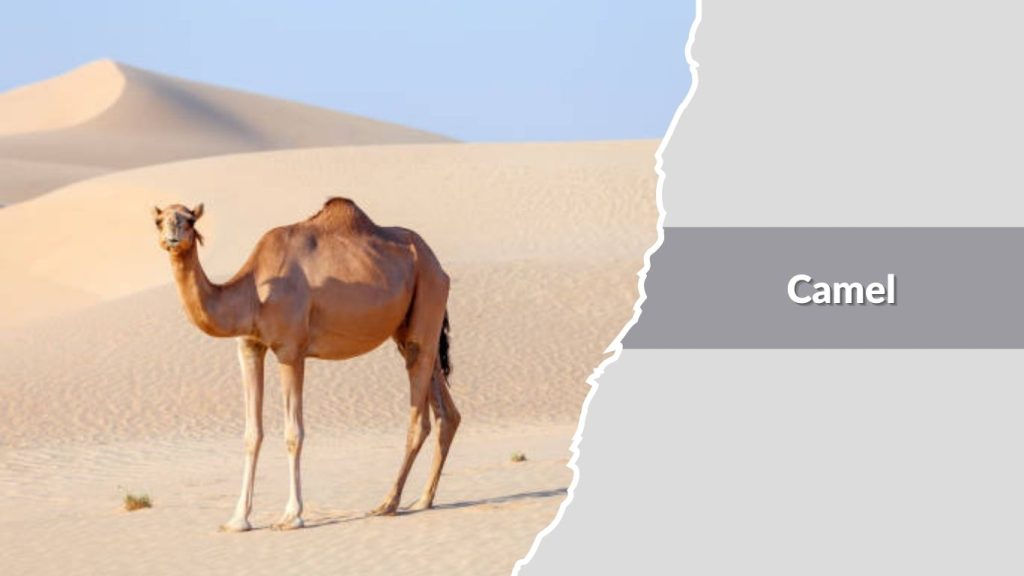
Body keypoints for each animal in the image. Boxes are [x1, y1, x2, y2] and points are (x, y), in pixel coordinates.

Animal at [152, 197, 460, 532]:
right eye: (159, 220)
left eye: (190, 220)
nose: (172, 237)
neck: (253, 294)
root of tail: (438, 266)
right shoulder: (249, 347)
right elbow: (252, 433)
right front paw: (238, 519)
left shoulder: (291, 350)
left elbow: (293, 433)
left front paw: (292, 515)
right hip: (410, 328)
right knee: (446, 410)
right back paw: (423, 499)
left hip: (427, 295)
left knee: (419, 415)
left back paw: (388, 504)